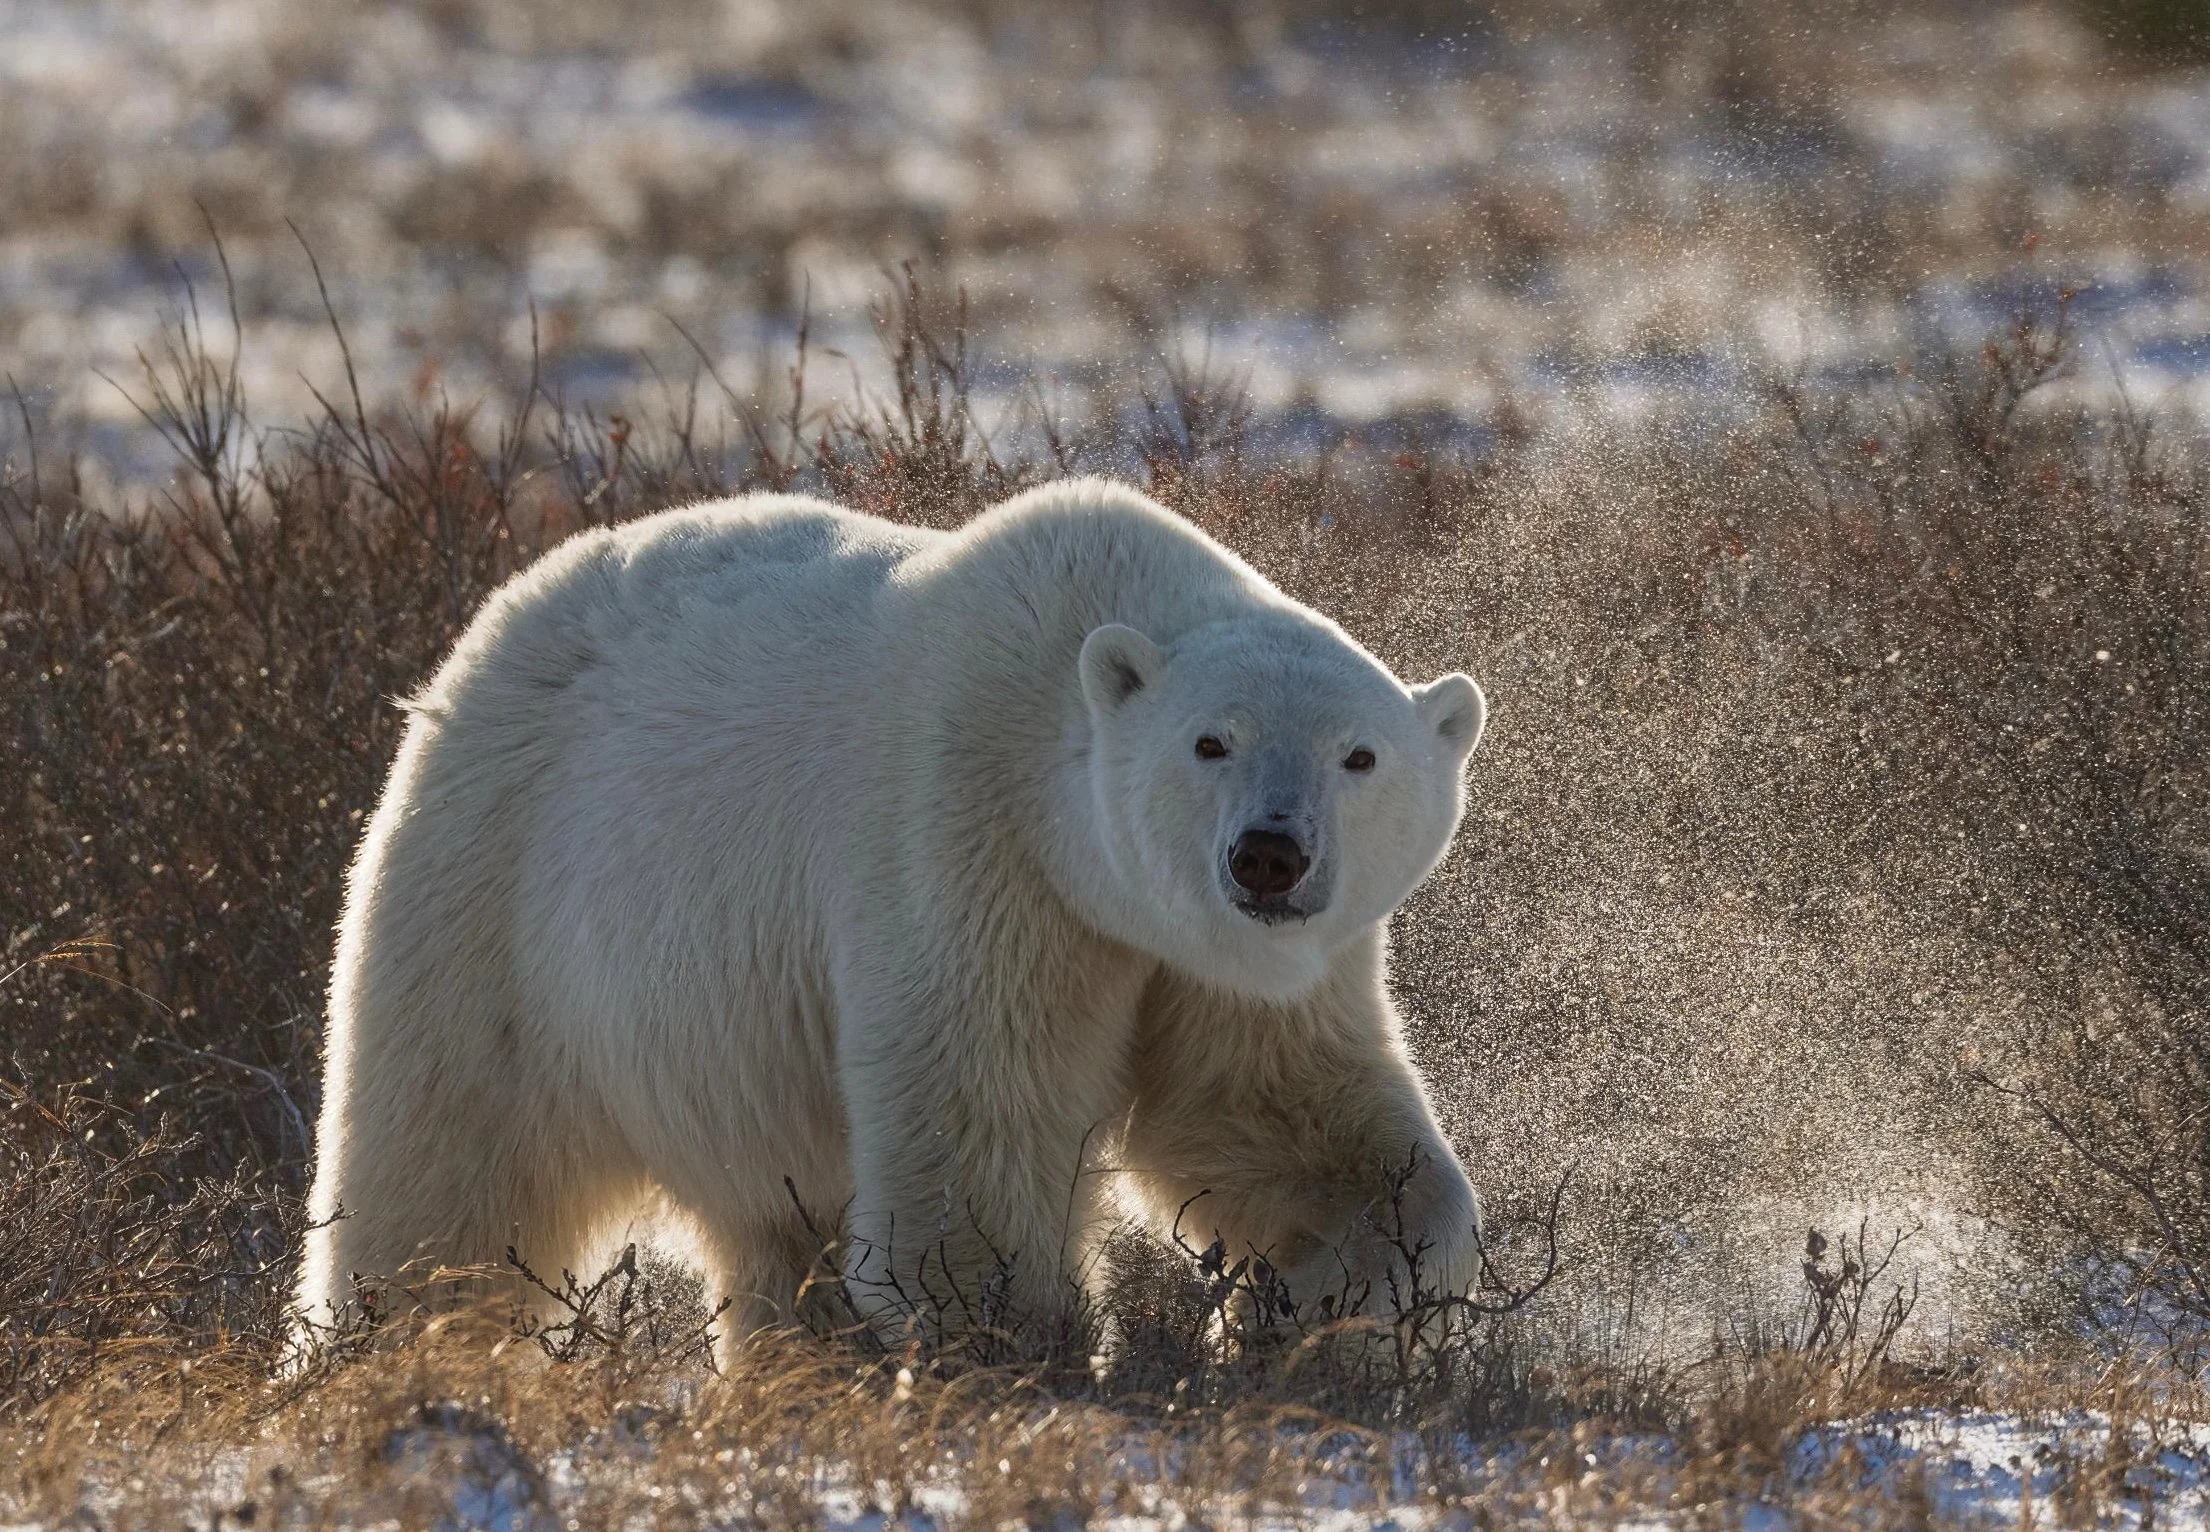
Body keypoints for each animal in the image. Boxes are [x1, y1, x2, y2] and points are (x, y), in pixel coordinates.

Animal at [295, 477, 1488, 1359]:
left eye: (1358, 755)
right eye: (1211, 741)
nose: (1269, 854)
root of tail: (495, 621)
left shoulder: (1221, 962)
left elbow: (1273, 1114)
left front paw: (1325, 1298)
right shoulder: (970, 850)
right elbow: (976, 1129)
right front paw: (1022, 1347)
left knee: (773, 1234)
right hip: (494, 899)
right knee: (446, 1165)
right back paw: (391, 1352)